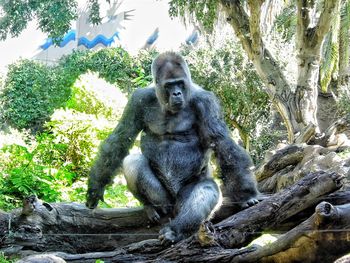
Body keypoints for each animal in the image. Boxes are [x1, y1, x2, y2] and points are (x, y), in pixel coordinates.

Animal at [86, 51, 258, 245]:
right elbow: (121, 137)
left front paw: (246, 195)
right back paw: (150, 206)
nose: (176, 93)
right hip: (166, 201)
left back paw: (176, 230)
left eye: (180, 83)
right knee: (133, 162)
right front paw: (95, 187)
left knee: (206, 189)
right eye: (169, 85)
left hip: (183, 200)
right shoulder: (138, 99)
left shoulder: (205, 101)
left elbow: (222, 143)